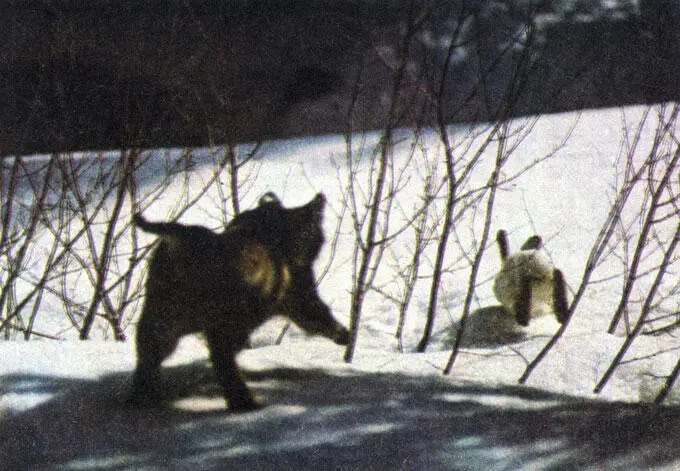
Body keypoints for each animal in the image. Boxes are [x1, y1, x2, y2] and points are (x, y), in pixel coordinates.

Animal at [129, 194, 348, 412]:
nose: (320, 197)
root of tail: (178, 237)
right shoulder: (298, 293)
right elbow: (315, 313)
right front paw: (343, 334)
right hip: (219, 312)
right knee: (220, 355)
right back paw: (244, 402)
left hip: (163, 309)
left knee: (149, 348)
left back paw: (142, 396)